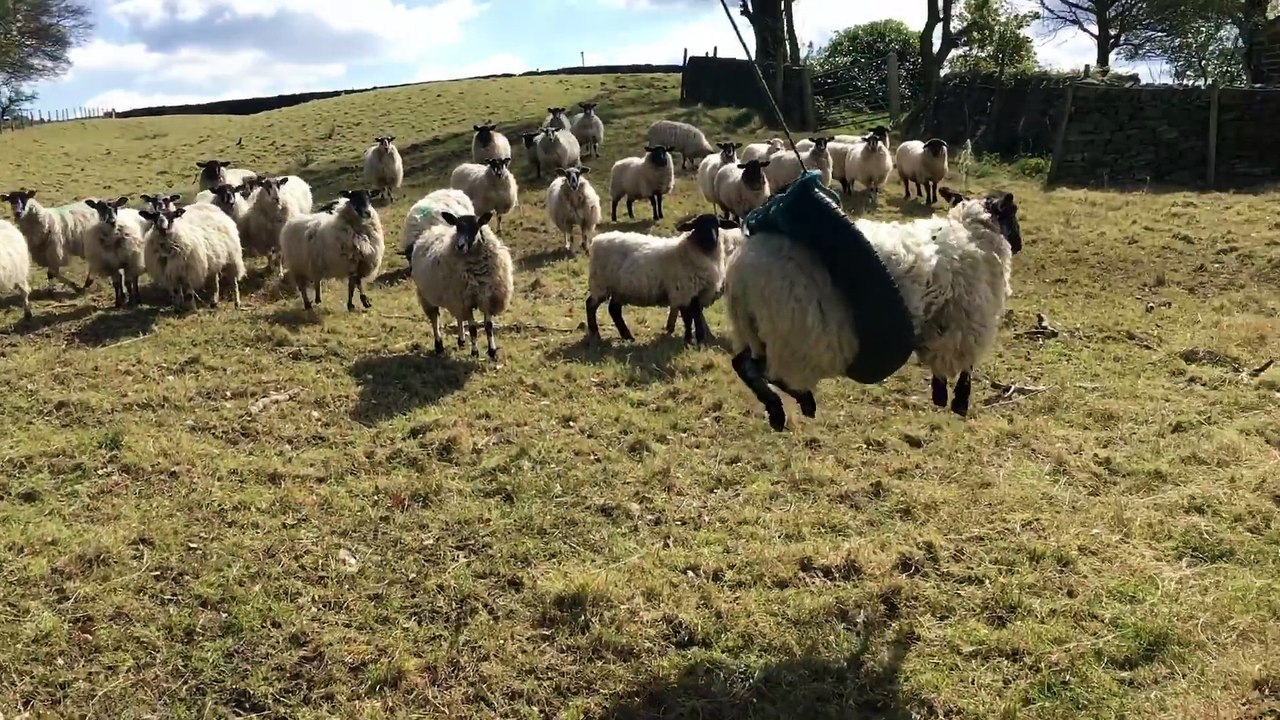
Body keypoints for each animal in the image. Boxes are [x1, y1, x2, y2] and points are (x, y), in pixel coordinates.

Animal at [410, 210, 514, 360]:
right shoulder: (466, 302)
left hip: (455, 297)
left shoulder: (486, 299)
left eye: (476, 226)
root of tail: (431, 230)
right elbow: (473, 329)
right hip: (427, 295)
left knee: (458, 318)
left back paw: (461, 340)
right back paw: (439, 346)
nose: (459, 246)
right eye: (457, 227)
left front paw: (492, 352)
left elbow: (488, 327)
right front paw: (475, 352)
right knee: (435, 319)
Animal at [585, 213, 738, 347]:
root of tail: (597, 241)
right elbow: (689, 318)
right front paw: (689, 339)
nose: (711, 240)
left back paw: (627, 336)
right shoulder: (682, 291)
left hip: (620, 288)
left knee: (614, 309)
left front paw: (700, 339)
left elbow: (697, 316)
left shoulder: (697, 292)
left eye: (717, 224)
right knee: (590, 305)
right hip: (600, 284)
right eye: (697, 225)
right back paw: (596, 334)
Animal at [722, 185, 1024, 431]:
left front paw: (940, 394)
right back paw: (802, 401)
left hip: (755, 330)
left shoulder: (944, 324)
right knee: (771, 372)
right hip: (796, 336)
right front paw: (958, 401)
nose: (1020, 246)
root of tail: (739, 272)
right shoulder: (968, 322)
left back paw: (779, 410)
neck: (975, 233)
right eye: (1013, 214)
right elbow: (966, 367)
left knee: (744, 364)